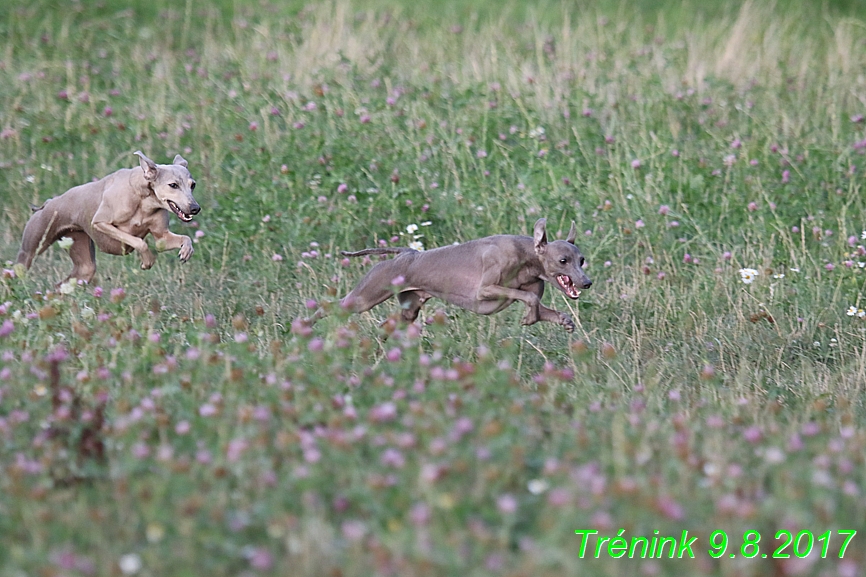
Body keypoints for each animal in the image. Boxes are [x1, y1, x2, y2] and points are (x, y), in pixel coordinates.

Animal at [15, 150, 199, 282]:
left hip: (84, 263)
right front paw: (147, 260)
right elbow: (139, 242)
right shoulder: (101, 223)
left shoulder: (162, 238)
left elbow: (180, 239)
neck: (143, 199)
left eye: (193, 185)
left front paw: (186, 251)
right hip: (30, 249)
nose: (195, 208)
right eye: (173, 185)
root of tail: (47, 204)